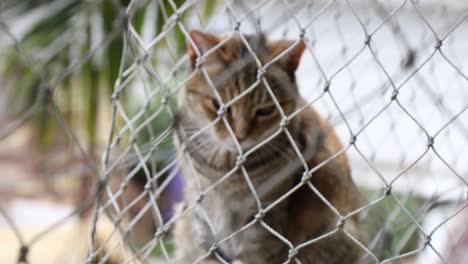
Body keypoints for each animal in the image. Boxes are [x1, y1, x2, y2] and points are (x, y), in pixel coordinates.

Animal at [173, 29, 366, 262]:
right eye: (219, 106)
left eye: (265, 110)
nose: (240, 136)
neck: (225, 166)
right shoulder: (200, 210)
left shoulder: (264, 219)